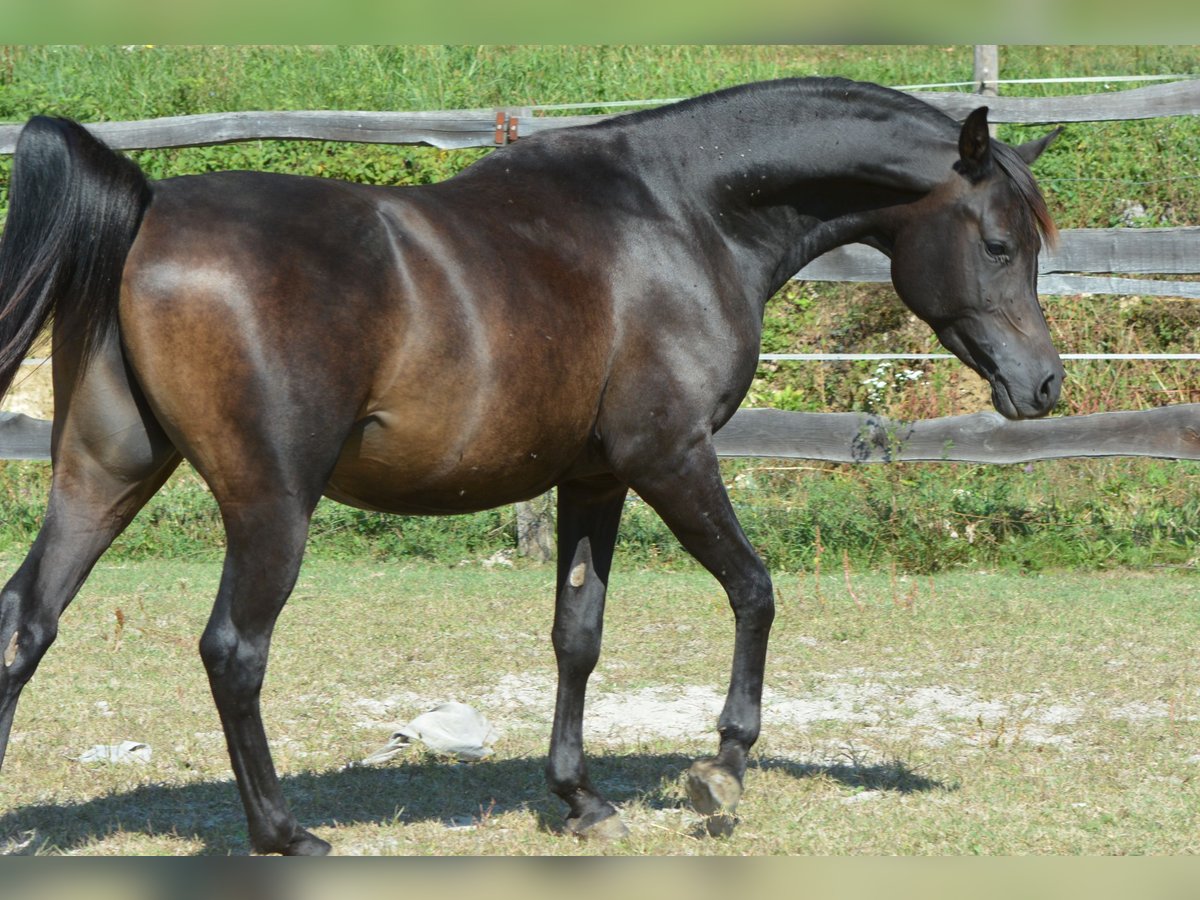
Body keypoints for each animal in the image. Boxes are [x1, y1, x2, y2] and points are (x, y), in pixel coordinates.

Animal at [0, 75, 1060, 854]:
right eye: (999, 244)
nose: (1044, 384)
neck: (682, 216)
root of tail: (149, 208)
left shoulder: (593, 478)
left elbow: (576, 635)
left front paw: (580, 797)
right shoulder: (670, 457)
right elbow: (755, 589)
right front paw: (722, 768)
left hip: (104, 478)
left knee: (27, 622)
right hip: (271, 507)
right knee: (233, 652)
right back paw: (285, 835)